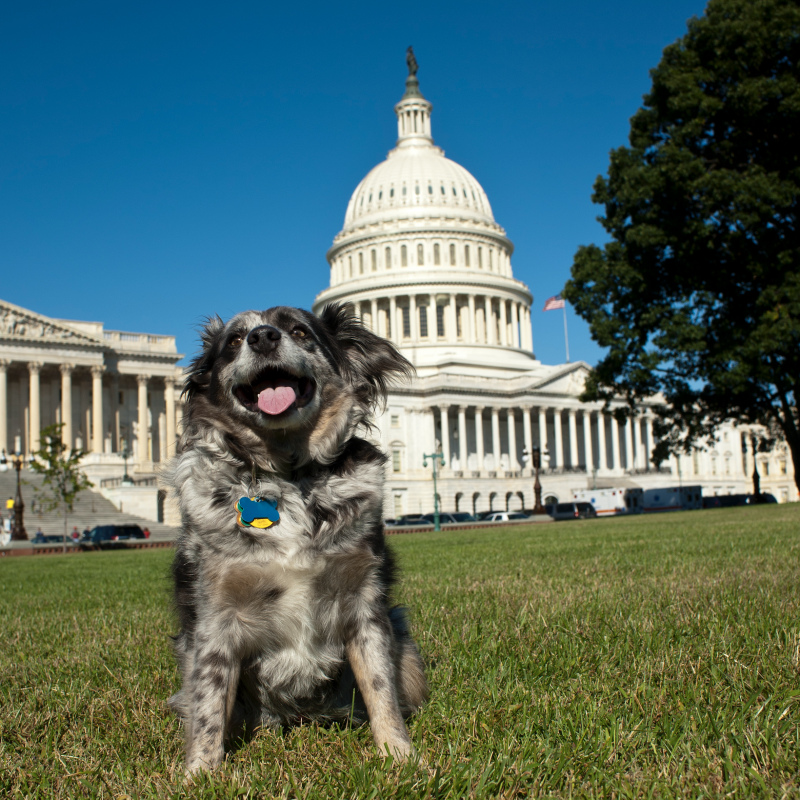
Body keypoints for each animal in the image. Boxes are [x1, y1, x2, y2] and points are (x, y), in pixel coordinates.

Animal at [159, 304, 428, 772]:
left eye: (300, 331)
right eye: (233, 340)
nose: (263, 338)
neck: (286, 476)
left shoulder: (366, 606)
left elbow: (381, 692)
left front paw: (400, 758)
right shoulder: (215, 616)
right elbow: (209, 706)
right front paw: (201, 774)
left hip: (404, 643)